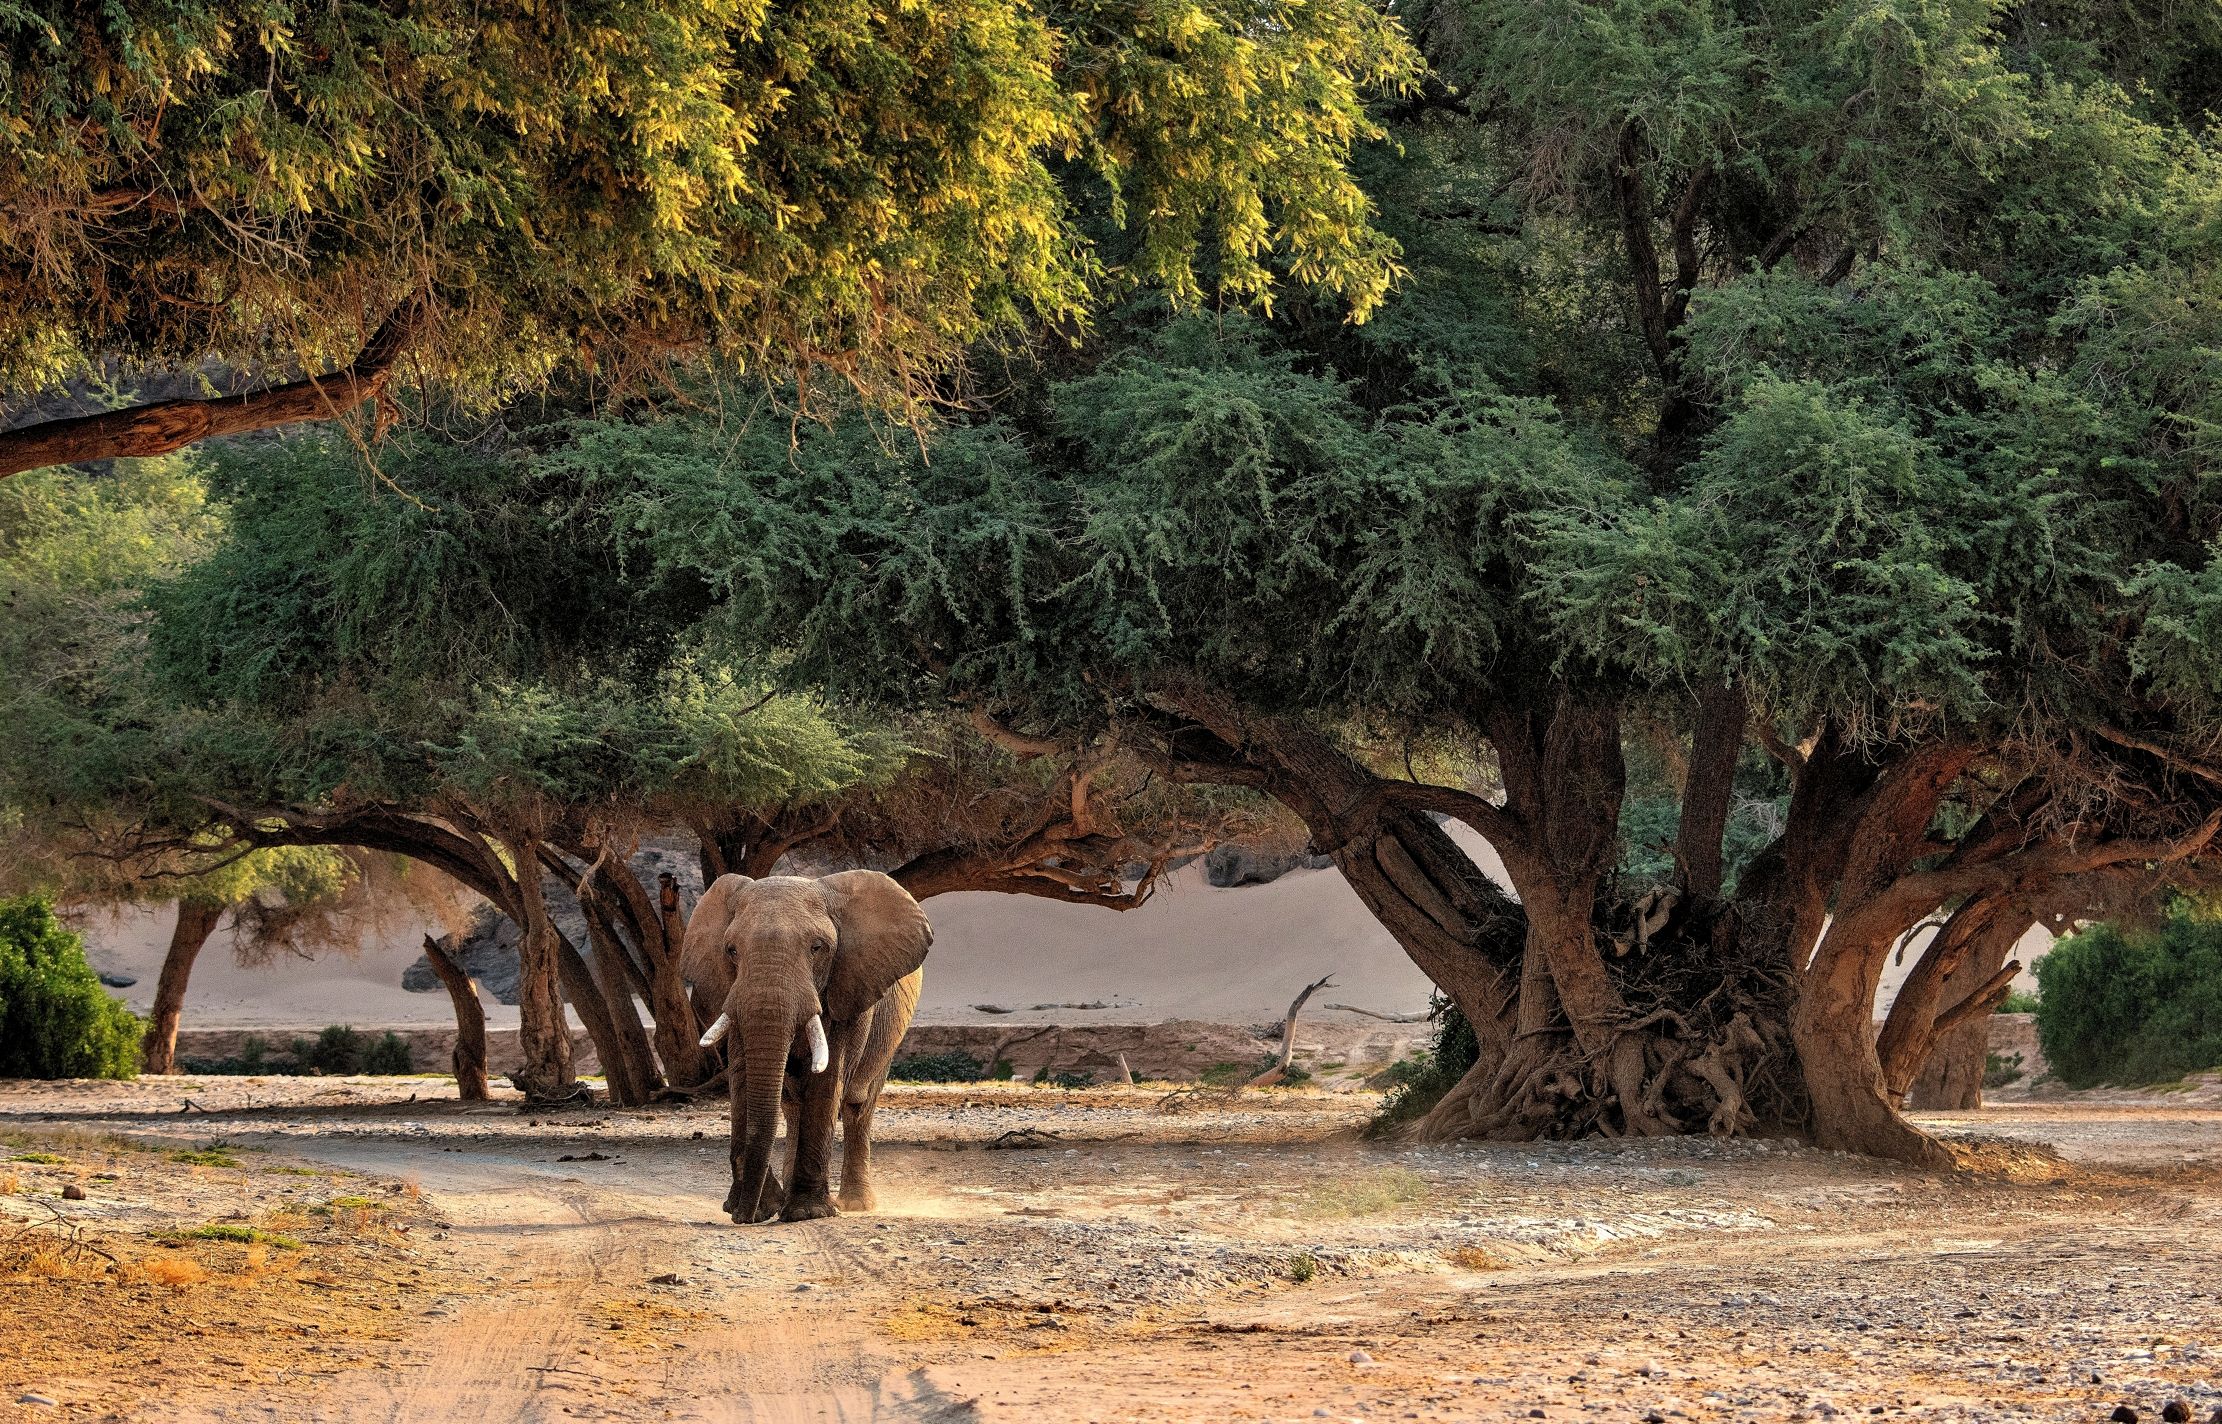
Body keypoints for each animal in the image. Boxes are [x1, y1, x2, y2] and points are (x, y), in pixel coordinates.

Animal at [681, 870, 930, 1224]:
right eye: (731, 950)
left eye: (817, 947)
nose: (742, 1217)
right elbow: (742, 1077)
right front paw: (761, 1208)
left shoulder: (849, 989)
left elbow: (828, 1080)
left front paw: (806, 1213)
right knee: (792, 1105)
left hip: (890, 1034)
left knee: (858, 1106)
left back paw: (855, 1204)